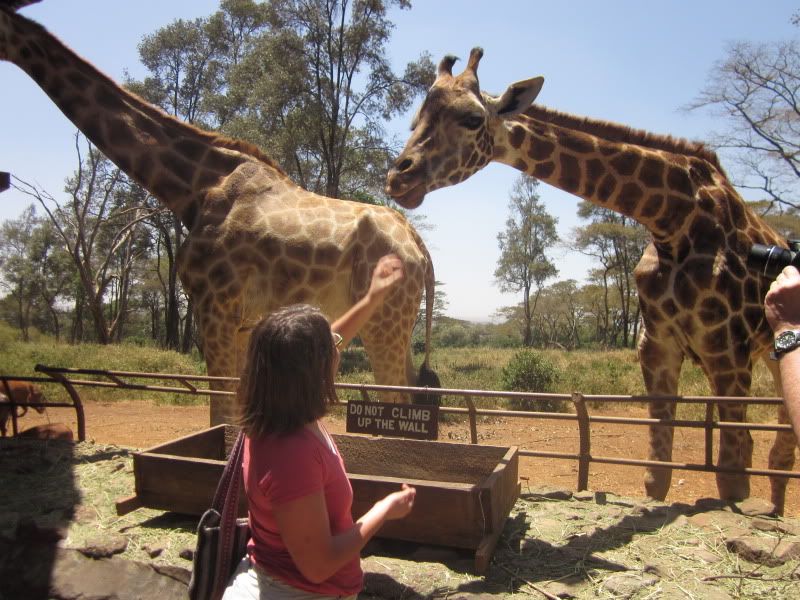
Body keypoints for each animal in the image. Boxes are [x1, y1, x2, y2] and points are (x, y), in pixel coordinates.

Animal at [0, 4, 439, 425]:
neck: (194, 187)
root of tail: (420, 250)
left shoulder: (214, 305)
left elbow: (220, 405)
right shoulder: (242, 321)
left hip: (384, 323)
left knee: (398, 396)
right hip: (397, 324)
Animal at [386, 47, 798, 514]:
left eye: (472, 119)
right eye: (415, 120)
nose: (399, 178)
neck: (673, 220)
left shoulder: (726, 350)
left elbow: (732, 477)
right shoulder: (657, 345)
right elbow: (657, 475)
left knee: (775, 448)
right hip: (769, 352)